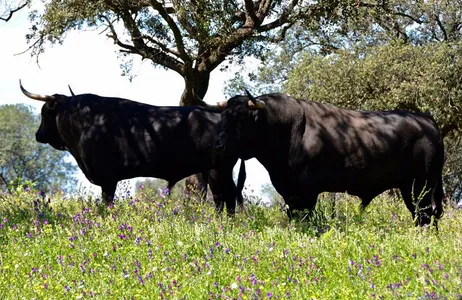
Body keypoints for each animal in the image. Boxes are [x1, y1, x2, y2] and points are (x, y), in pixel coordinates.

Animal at [19, 82, 245, 213]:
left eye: (44, 112)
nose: (38, 135)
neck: (83, 121)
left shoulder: (107, 179)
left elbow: (107, 204)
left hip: (218, 170)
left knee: (225, 197)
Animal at [215, 92, 446, 226]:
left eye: (242, 118)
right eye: (224, 118)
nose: (219, 146)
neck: (287, 128)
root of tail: (426, 120)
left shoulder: (307, 191)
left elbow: (305, 218)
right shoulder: (289, 191)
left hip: (421, 187)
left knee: (425, 215)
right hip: (411, 188)